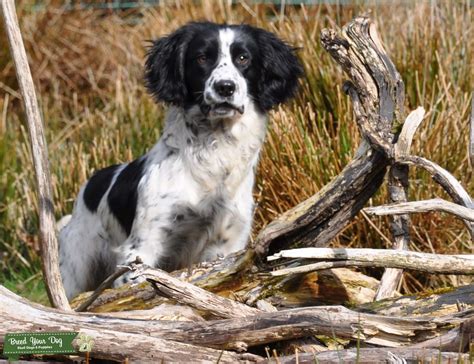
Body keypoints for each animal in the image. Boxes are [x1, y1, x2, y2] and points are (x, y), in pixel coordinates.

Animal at [59, 21, 302, 298]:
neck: (211, 159)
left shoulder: (225, 245)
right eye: (202, 57)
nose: (225, 87)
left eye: (243, 58)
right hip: (76, 271)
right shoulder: (142, 248)